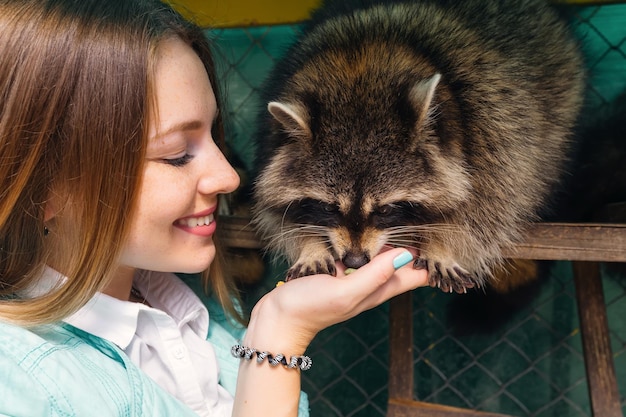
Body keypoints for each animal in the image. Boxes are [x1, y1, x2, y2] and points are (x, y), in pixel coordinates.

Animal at [251, 0, 584, 292]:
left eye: (385, 210)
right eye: (328, 208)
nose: (355, 260)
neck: (359, 60)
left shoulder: (495, 134)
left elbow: (486, 212)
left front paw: (443, 245)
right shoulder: (271, 143)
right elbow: (275, 214)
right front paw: (309, 244)